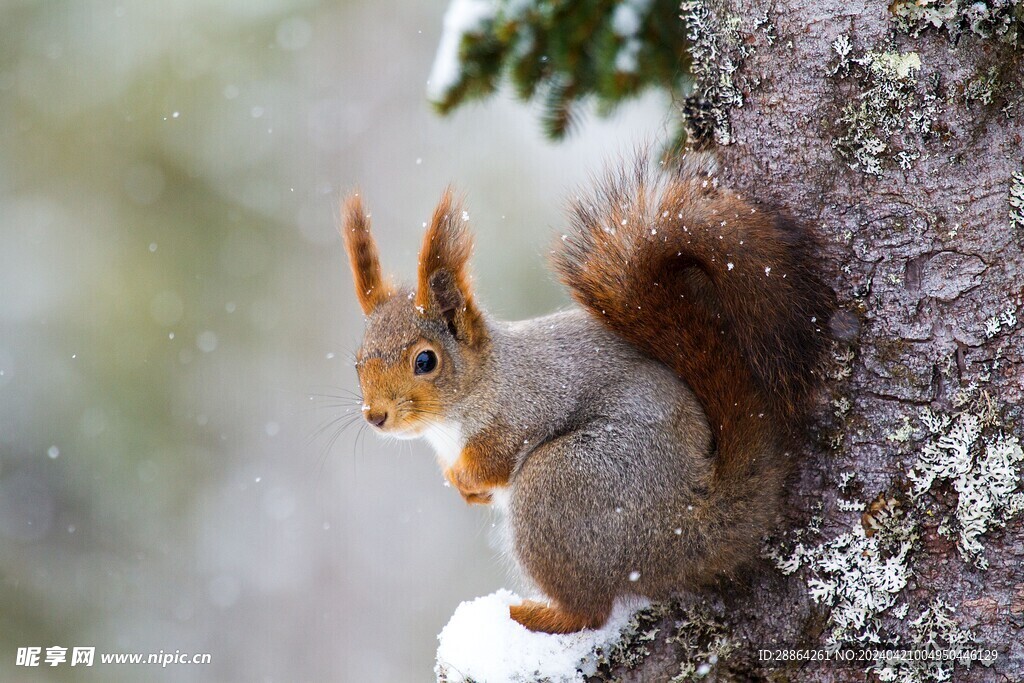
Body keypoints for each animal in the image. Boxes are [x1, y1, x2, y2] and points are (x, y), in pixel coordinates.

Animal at [335, 153, 831, 634]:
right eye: (357, 361)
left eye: (425, 361)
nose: (375, 416)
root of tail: (685, 525)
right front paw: (464, 489)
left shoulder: (525, 407)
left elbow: (495, 457)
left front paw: (465, 478)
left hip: (559, 484)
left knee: (589, 611)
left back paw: (535, 616)